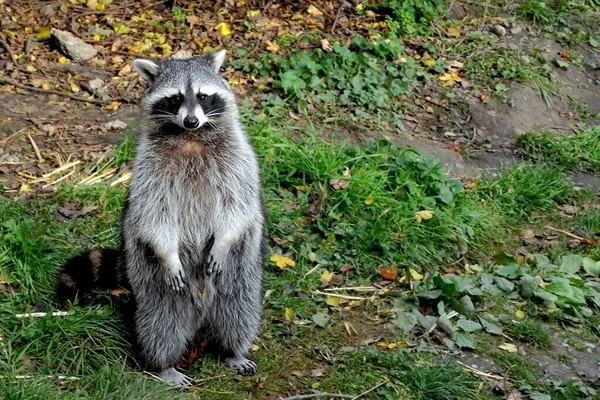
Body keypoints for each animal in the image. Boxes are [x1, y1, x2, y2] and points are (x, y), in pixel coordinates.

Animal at [55, 50, 264, 384]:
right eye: (175, 98)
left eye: (202, 96)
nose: (191, 120)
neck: (191, 137)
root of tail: (201, 307)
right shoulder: (149, 170)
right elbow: (155, 215)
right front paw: (169, 254)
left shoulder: (239, 161)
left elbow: (237, 206)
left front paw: (223, 240)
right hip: (152, 282)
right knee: (161, 322)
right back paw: (164, 364)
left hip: (241, 272)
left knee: (239, 311)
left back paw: (233, 350)